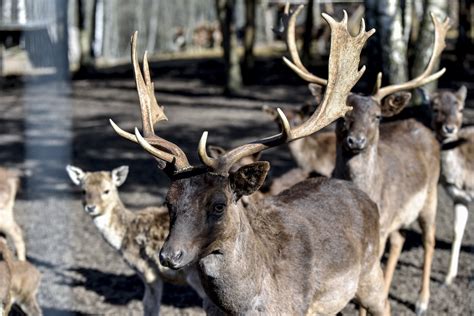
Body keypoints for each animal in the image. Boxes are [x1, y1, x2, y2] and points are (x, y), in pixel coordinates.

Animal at [65, 165, 206, 316]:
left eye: (106, 190)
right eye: (83, 190)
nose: (91, 207)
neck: (123, 237)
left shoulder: (147, 269)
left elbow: (149, 305)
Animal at [109, 9, 390, 314]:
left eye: (219, 205)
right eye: (167, 201)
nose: (170, 255)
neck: (243, 307)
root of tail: (361, 193)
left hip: (371, 271)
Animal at [280, 4, 450, 314]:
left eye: (378, 116)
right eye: (342, 117)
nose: (355, 141)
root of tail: (425, 129)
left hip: (430, 194)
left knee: (429, 239)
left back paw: (422, 300)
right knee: (399, 239)